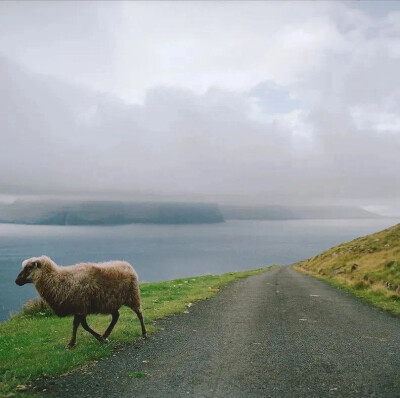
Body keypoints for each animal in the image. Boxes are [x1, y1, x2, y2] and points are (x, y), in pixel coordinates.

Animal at [16, 255, 147, 348]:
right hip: (111, 302)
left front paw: (99, 339)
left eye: (29, 267)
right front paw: (73, 343)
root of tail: (126, 264)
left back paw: (144, 333)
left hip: (132, 295)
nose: (16, 281)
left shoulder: (80, 307)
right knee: (116, 316)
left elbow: (83, 325)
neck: (58, 280)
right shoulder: (78, 308)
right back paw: (106, 334)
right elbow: (77, 325)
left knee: (139, 313)